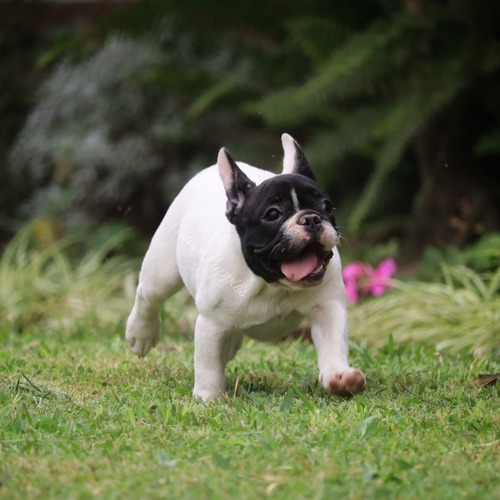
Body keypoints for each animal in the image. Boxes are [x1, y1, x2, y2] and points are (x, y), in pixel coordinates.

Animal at [127, 135, 366, 400]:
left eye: (326, 206)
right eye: (272, 214)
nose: (312, 218)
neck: (273, 285)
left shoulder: (327, 308)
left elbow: (333, 344)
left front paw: (340, 377)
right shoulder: (212, 323)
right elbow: (207, 363)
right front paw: (208, 397)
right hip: (163, 270)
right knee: (148, 295)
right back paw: (141, 333)